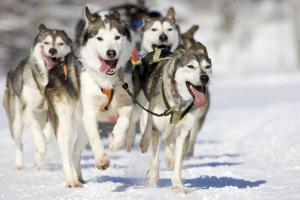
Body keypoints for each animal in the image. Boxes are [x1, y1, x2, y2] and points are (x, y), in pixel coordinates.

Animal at [3, 24, 72, 170]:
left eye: (60, 43)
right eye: (46, 42)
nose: (52, 50)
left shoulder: (52, 111)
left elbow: (47, 132)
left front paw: (43, 144)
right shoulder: (27, 110)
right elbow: (35, 128)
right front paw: (41, 143)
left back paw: (41, 165)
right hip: (16, 121)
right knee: (19, 143)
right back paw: (19, 164)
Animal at [45, 6, 133, 188]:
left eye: (117, 37)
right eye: (99, 38)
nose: (111, 52)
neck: (107, 80)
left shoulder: (126, 101)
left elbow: (124, 120)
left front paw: (116, 140)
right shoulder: (90, 114)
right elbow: (96, 139)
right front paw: (101, 159)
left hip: (81, 127)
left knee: (75, 151)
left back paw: (78, 177)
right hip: (65, 122)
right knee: (66, 151)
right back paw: (71, 180)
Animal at [140, 43, 211, 191]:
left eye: (207, 66)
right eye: (191, 66)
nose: (204, 78)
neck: (178, 102)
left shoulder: (184, 133)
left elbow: (179, 163)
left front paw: (178, 186)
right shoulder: (157, 128)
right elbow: (154, 161)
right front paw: (152, 184)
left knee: (168, 140)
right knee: (147, 124)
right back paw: (144, 141)